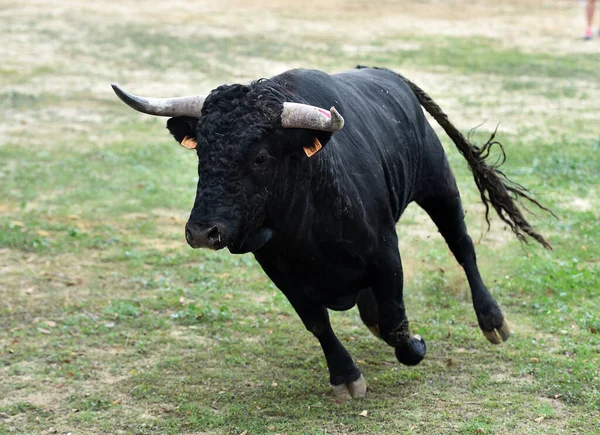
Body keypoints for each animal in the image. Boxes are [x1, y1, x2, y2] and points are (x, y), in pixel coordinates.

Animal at [111, 66, 548, 400]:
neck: (307, 219)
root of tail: (391, 77)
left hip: (439, 184)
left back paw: (492, 320)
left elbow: (397, 321)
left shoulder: (386, 252)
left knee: (462, 245)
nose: (203, 231)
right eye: (201, 152)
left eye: (261, 157)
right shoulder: (281, 272)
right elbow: (318, 322)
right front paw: (346, 377)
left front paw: (415, 344)